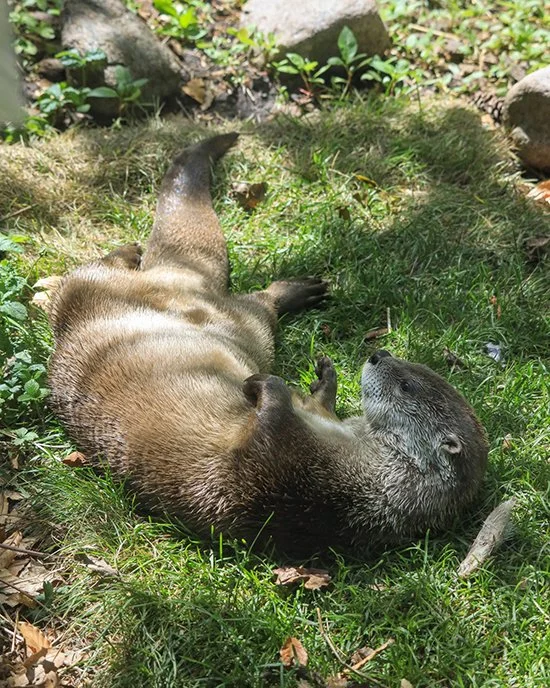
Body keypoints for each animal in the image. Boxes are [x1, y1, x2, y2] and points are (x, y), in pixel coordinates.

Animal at [48, 133, 488, 556]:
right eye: (410, 365)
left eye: (406, 385)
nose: (379, 354)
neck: (360, 476)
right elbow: (314, 402)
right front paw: (323, 377)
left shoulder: (281, 478)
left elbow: (265, 425)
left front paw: (264, 385)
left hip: (244, 324)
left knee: (251, 302)